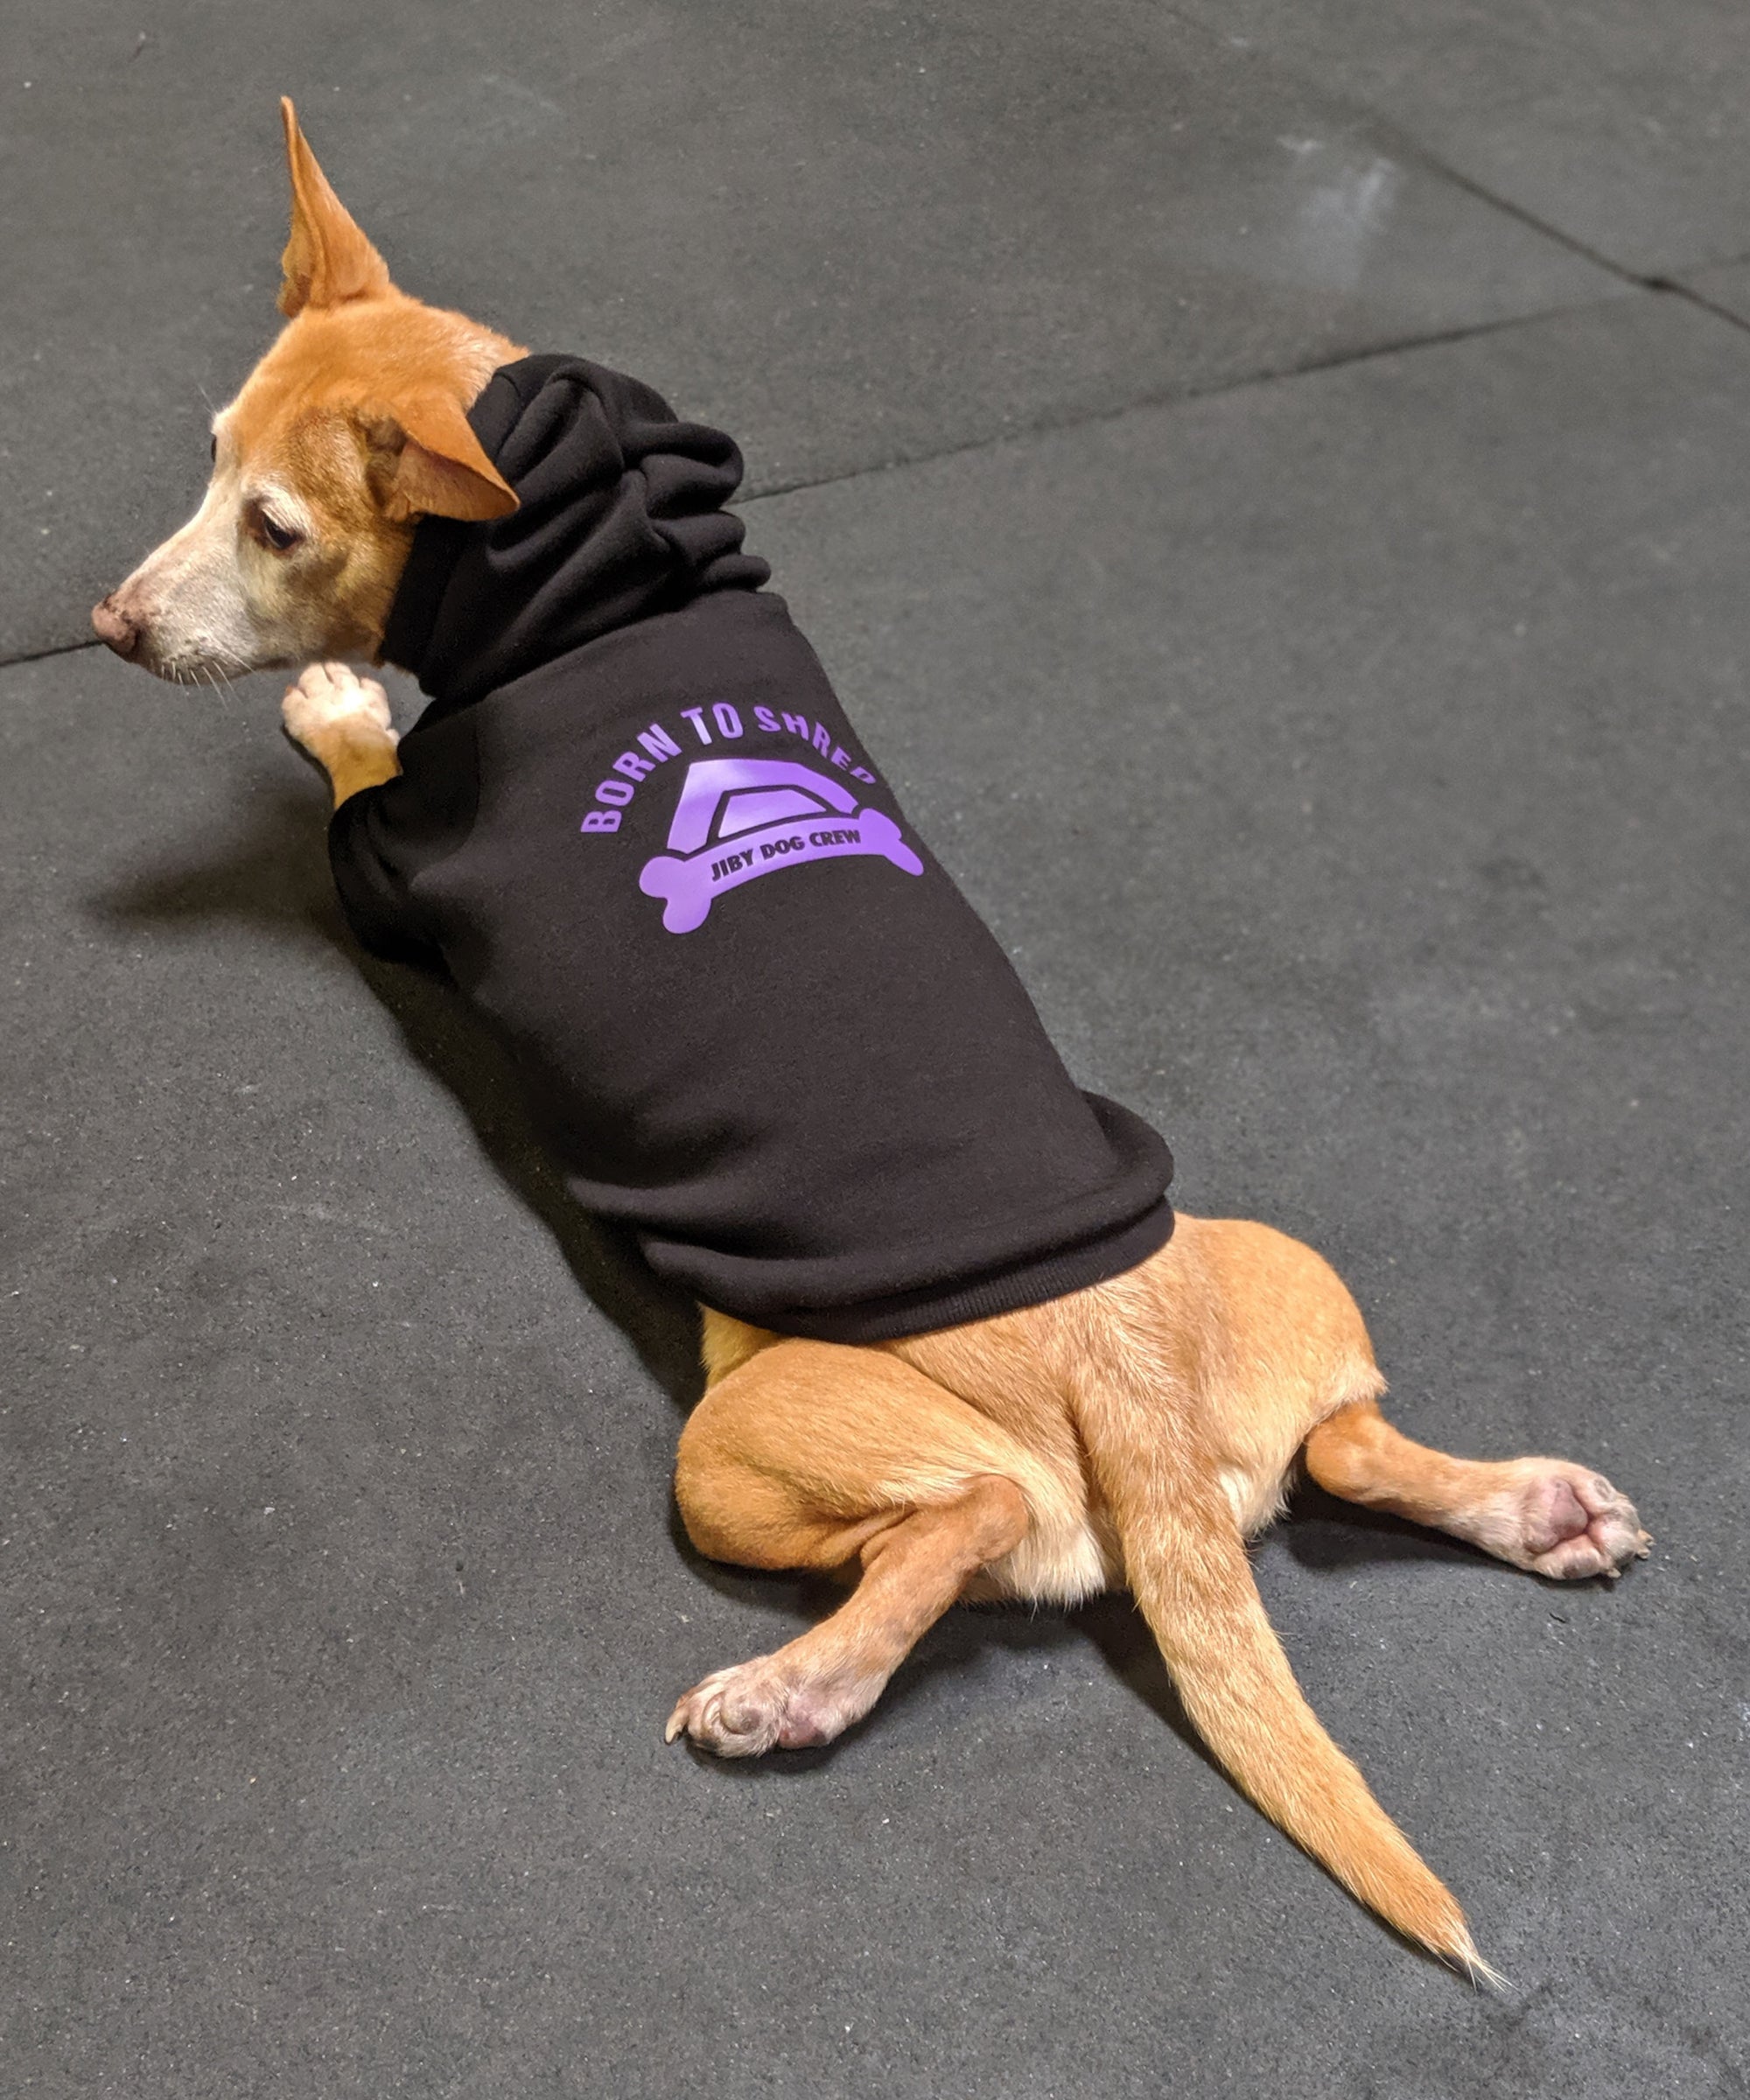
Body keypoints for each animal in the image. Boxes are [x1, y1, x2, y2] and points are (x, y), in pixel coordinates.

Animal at [95, 98, 1655, 1974]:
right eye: (204, 463)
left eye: (275, 527)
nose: (109, 623)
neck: (601, 590)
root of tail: (1125, 1395)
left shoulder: (396, 866)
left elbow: (356, 775)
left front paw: (336, 707)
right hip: (1273, 1269)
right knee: (1338, 1436)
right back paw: (1532, 1506)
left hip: (742, 1437)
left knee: (968, 1522)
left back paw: (797, 1688)